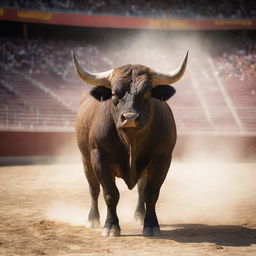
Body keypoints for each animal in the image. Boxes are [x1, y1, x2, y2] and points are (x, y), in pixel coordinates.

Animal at [72, 51, 188, 237]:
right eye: (113, 94)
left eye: (147, 93)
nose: (130, 118)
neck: (131, 141)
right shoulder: (99, 157)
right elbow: (110, 194)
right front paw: (111, 226)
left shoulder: (162, 158)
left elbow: (151, 193)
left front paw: (151, 225)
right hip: (86, 160)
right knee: (93, 189)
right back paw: (92, 219)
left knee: (141, 190)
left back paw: (139, 216)